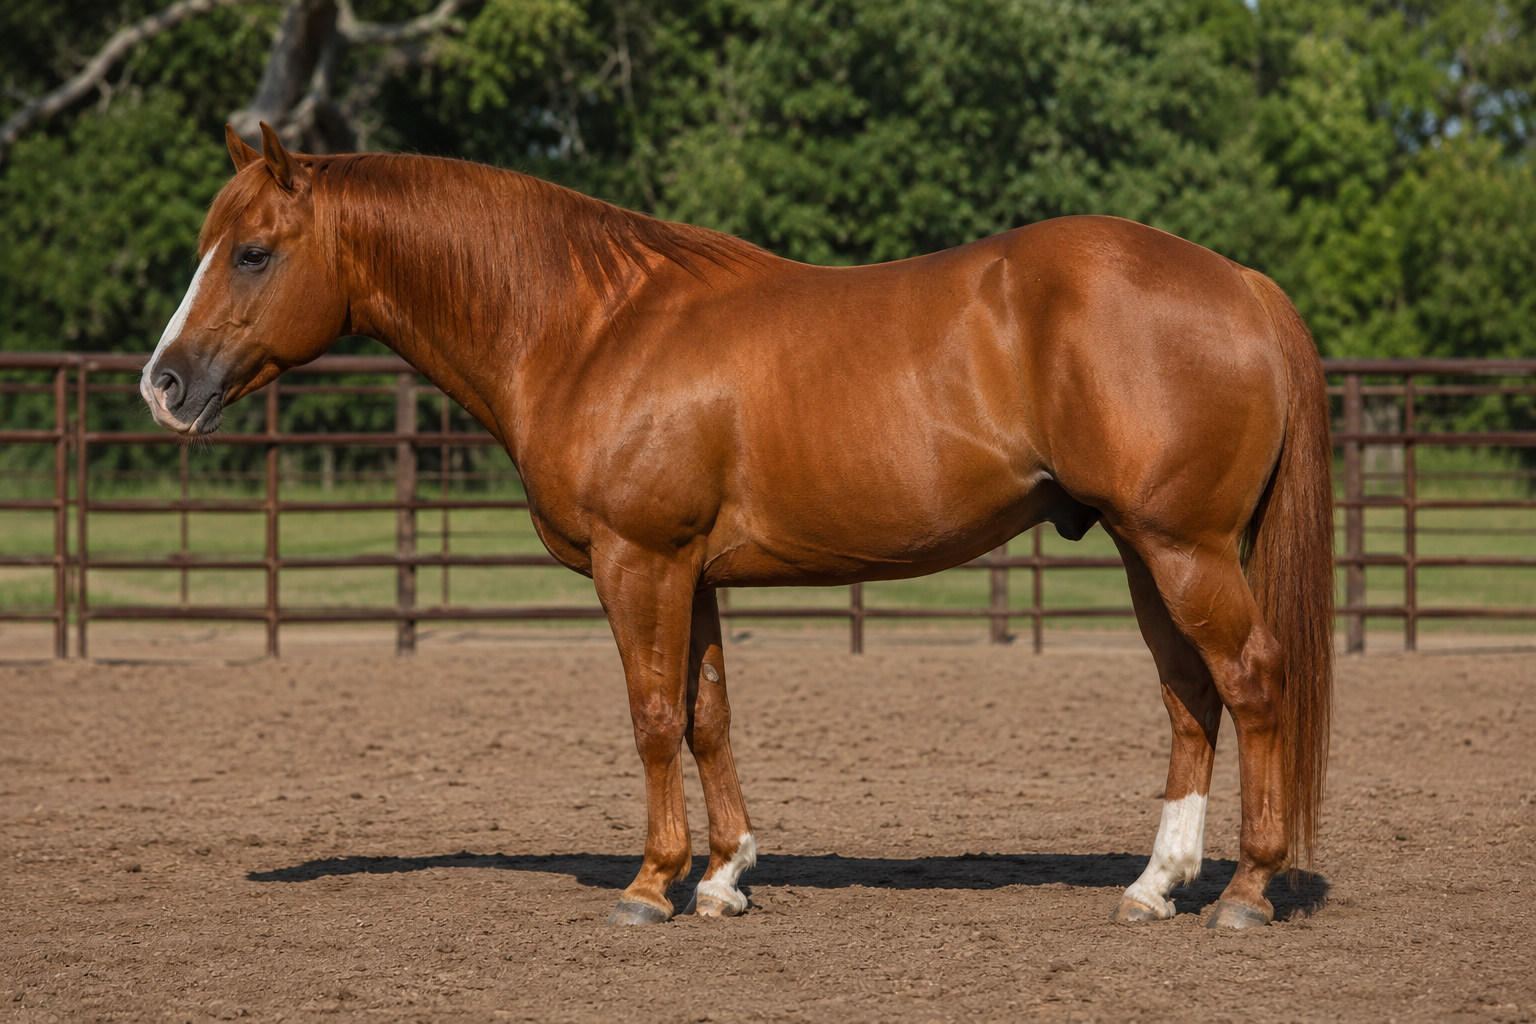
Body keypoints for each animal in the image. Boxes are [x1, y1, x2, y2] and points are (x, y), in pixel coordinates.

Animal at [141, 123, 1334, 929]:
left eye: (253, 251)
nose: (163, 383)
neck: (590, 327)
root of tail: (1241, 282)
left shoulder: (638, 562)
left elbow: (651, 718)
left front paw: (648, 884)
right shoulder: (694, 573)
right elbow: (708, 716)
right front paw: (722, 877)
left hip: (1181, 548)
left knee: (1252, 682)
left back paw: (1246, 888)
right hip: (1146, 549)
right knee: (1190, 699)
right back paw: (1154, 885)